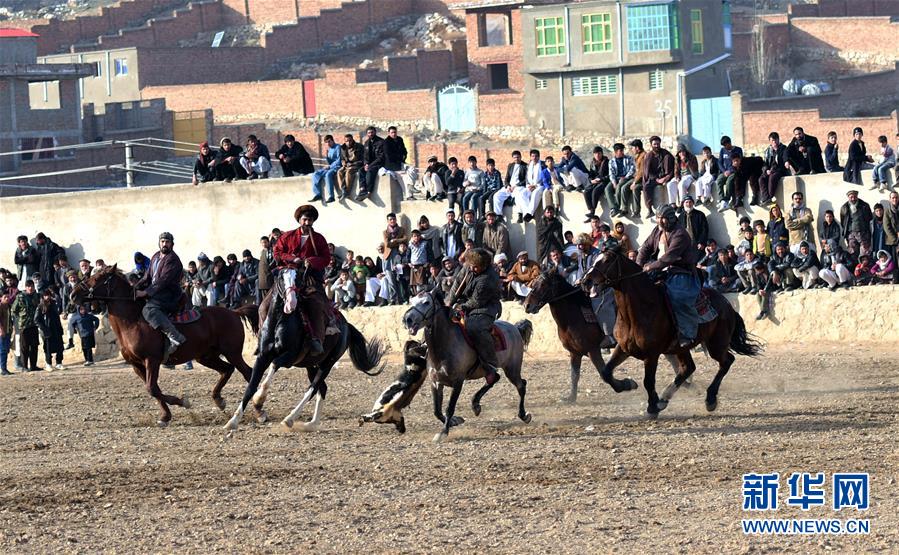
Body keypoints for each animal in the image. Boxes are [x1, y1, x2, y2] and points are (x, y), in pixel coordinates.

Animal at [71, 264, 260, 426]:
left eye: (97, 278)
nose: (73, 295)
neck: (133, 322)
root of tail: (234, 313)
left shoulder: (152, 360)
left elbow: (152, 388)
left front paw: (183, 402)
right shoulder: (136, 365)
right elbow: (153, 389)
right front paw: (166, 416)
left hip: (232, 352)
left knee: (248, 373)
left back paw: (258, 410)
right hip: (206, 357)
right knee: (227, 370)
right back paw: (219, 400)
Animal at [223, 268, 384, 434]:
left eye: (298, 279)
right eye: (281, 279)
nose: (291, 303)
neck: (279, 322)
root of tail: (347, 326)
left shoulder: (290, 356)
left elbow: (274, 364)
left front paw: (260, 398)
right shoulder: (262, 357)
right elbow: (250, 387)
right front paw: (233, 421)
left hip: (327, 364)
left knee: (313, 388)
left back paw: (290, 419)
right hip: (311, 366)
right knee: (322, 388)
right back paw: (310, 424)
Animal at [368, 288, 536, 446]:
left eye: (426, 302)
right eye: (412, 301)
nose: (407, 319)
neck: (444, 346)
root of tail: (514, 328)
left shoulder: (458, 382)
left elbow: (449, 408)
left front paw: (443, 433)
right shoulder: (436, 383)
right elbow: (436, 410)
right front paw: (455, 421)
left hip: (512, 368)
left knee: (521, 385)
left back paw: (524, 415)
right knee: (494, 378)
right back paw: (476, 405)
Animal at [524, 272, 680, 406]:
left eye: (543, 284)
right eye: (533, 283)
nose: (527, 305)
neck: (575, 314)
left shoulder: (593, 350)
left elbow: (604, 373)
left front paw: (627, 384)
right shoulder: (575, 353)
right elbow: (575, 375)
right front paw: (570, 398)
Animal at [580, 250, 764, 420]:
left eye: (606, 260)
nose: (585, 281)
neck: (640, 309)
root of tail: (727, 304)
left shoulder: (652, 354)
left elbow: (648, 381)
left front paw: (652, 407)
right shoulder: (624, 348)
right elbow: (606, 372)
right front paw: (628, 384)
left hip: (716, 344)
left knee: (726, 362)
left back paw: (710, 399)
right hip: (681, 348)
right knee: (688, 368)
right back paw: (664, 398)